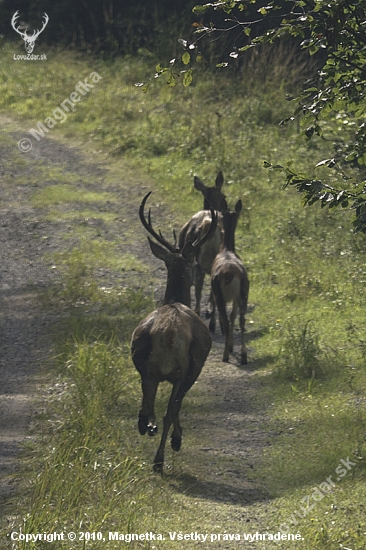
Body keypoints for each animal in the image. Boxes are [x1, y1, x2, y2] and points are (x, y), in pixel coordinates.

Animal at [132, 192, 217, 472]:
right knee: (170, 409)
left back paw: (148, 428)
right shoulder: (193, 369)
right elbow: (176, 408)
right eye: (191, 262)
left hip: (142, 360)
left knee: (148, 407)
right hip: (190, 365)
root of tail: (168, 334)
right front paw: (176, 440)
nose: (194, 273)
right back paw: (161, 457)